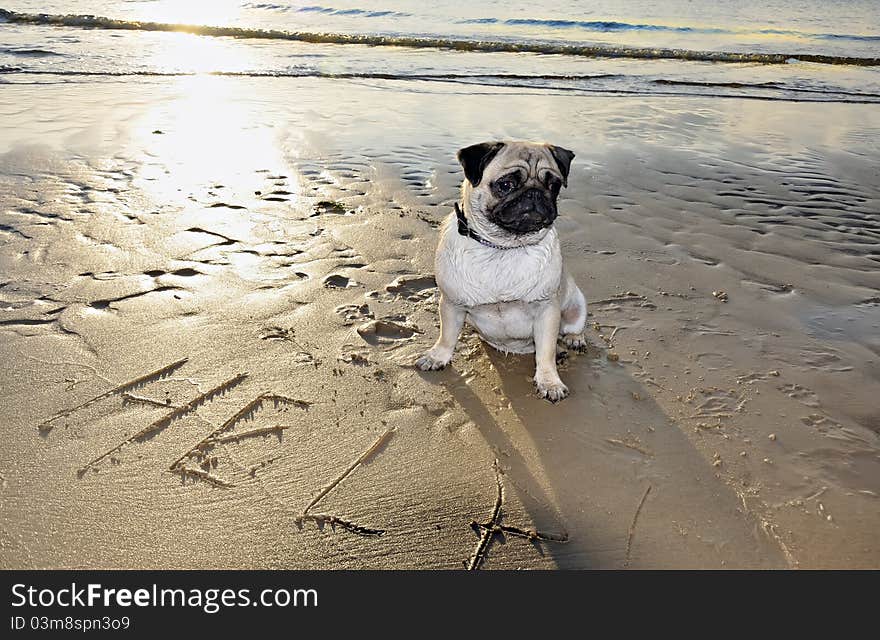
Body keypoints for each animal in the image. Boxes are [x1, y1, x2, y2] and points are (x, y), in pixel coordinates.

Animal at [416, 141, 588, 400]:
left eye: (554, 185)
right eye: (506, 185)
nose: (535, 192)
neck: (503, 247)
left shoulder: (547, 310)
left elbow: (545, 353)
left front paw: (549, 382)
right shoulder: (452, 304)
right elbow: (446, 336)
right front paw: (438, 357)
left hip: (577, 304)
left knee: (569, 329)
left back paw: (572, 340)